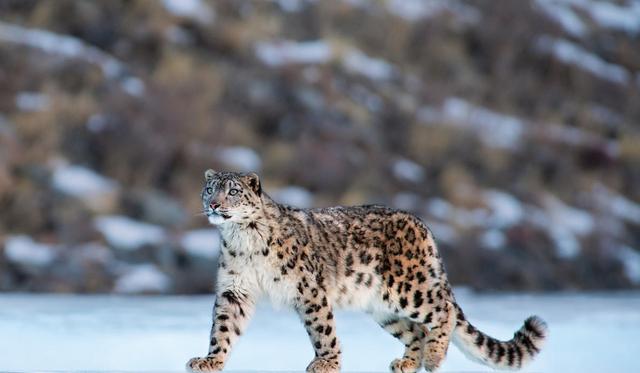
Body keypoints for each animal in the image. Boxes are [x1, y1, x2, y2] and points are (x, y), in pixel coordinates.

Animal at [186, 170, 552, 370]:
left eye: (233, 191)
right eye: (210, 189)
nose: (214, 204)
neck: (242, 239)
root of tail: (422, 225)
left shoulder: (309, 289)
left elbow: (322, 329)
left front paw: (327, 364)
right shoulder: (234, 290)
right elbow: (223, 329)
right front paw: (210, 360)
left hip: (409, 289)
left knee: (443, 309)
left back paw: (434, 358)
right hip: (384, 308)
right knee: (415, 331)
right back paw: (407, 363)